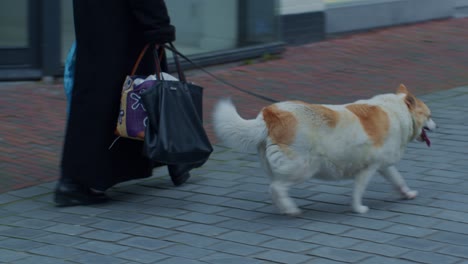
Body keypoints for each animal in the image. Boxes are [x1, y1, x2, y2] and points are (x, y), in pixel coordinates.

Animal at [214, 84, 436, 214]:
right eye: (430, 115)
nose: (437, 125)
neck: (397, 112)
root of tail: (270, 115)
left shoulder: (383, 166)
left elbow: (398, 180)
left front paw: (407, 194)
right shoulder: (368, 169)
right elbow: (358, 191)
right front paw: (359, 208)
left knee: (274, 187)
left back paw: (283, 207)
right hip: (303, 168)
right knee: (277, 187)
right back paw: (291, 209)